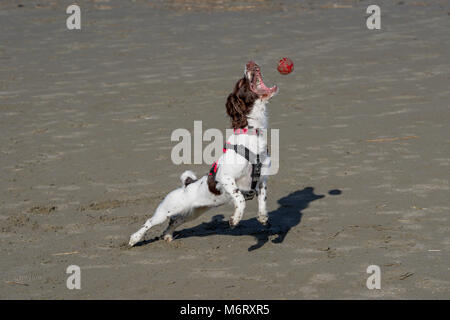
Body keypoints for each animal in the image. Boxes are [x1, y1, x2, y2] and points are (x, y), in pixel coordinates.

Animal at [128, 61, 278, 246]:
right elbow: (240, 198)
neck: (252, 133)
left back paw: (167, 235)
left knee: (175, 221)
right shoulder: (226, 177)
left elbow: (263, 201)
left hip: (193, 213)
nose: (250, 63)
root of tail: (186, 185)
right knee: (150, 221)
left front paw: (263, 218)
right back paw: (135, 238)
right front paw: (235, 219)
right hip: (166, 210)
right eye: (240, 83)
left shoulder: (262, 180)